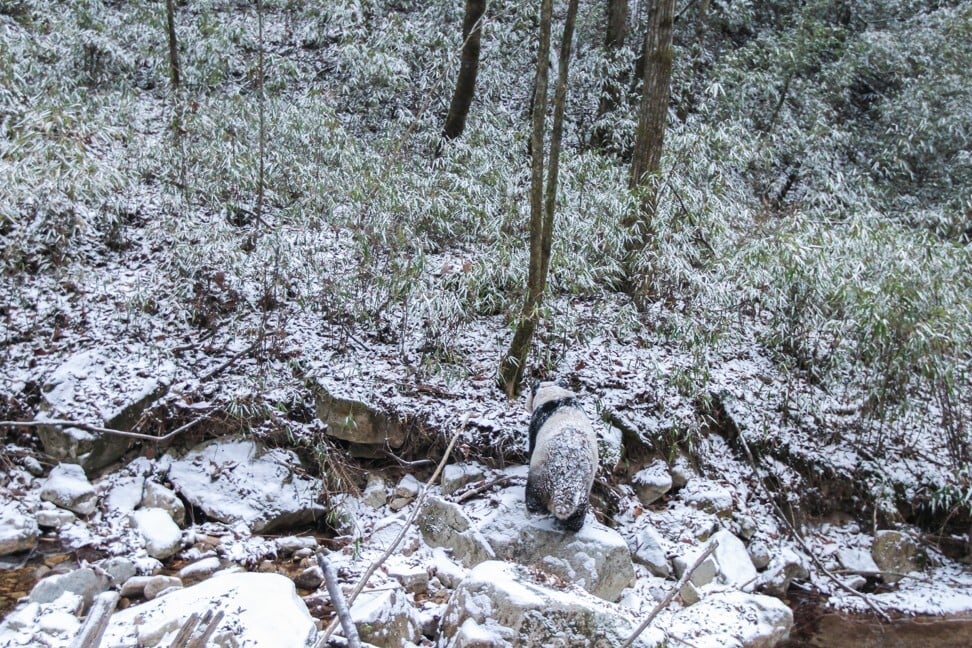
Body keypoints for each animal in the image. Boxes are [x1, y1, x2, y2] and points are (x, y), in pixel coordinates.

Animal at [525, 380, 598, 531]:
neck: (554, 394)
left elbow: (532, 445)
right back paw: (573, 525)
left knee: (534, 494)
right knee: (579, 511)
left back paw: (534, 509)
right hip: (584, 486)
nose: (525, 405)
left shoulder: (537, 421)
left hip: (543, 471)